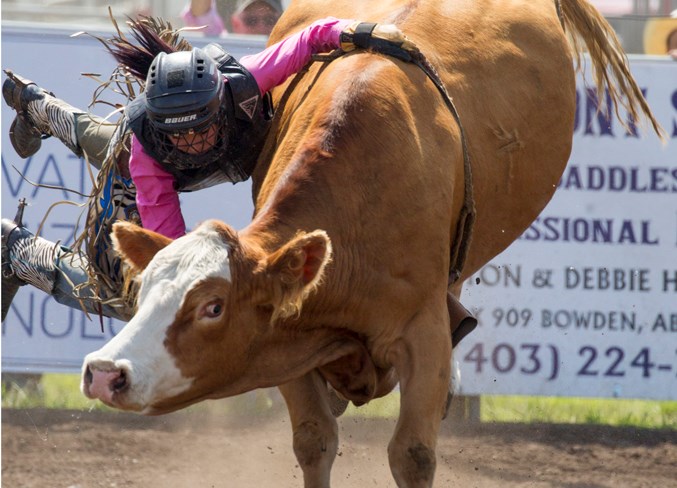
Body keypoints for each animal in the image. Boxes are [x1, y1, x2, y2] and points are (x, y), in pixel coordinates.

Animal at [79, 1, 660, 486]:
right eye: (145, 290)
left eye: (214, 306)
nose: (106, 373)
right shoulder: (290, 334)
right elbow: (314, 441)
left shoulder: (422, 333)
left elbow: (412, 454)